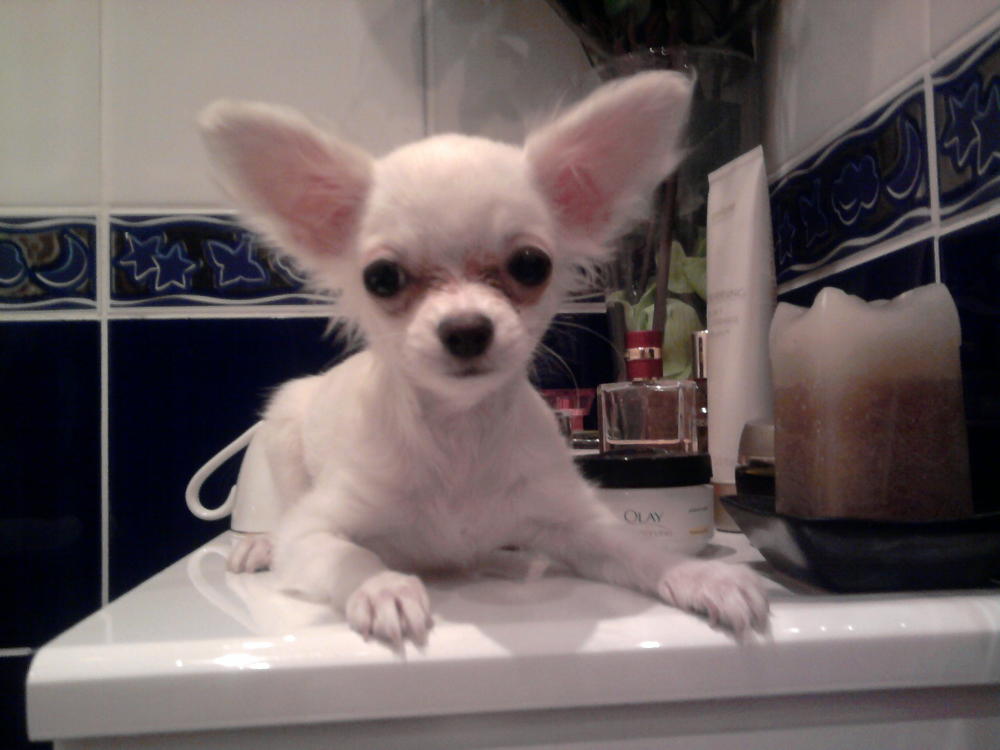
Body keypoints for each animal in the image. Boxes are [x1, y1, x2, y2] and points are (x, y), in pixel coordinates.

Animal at [199, 71, 768, 647]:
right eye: (381, 278)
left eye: (531, 265)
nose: (466, 329)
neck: (459, 435)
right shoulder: (314, 531)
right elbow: (350, 556)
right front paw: (383, 589)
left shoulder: (578, 525)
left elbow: (638, 548)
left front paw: (700, 575)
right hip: (283, 431)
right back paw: (259, 543)